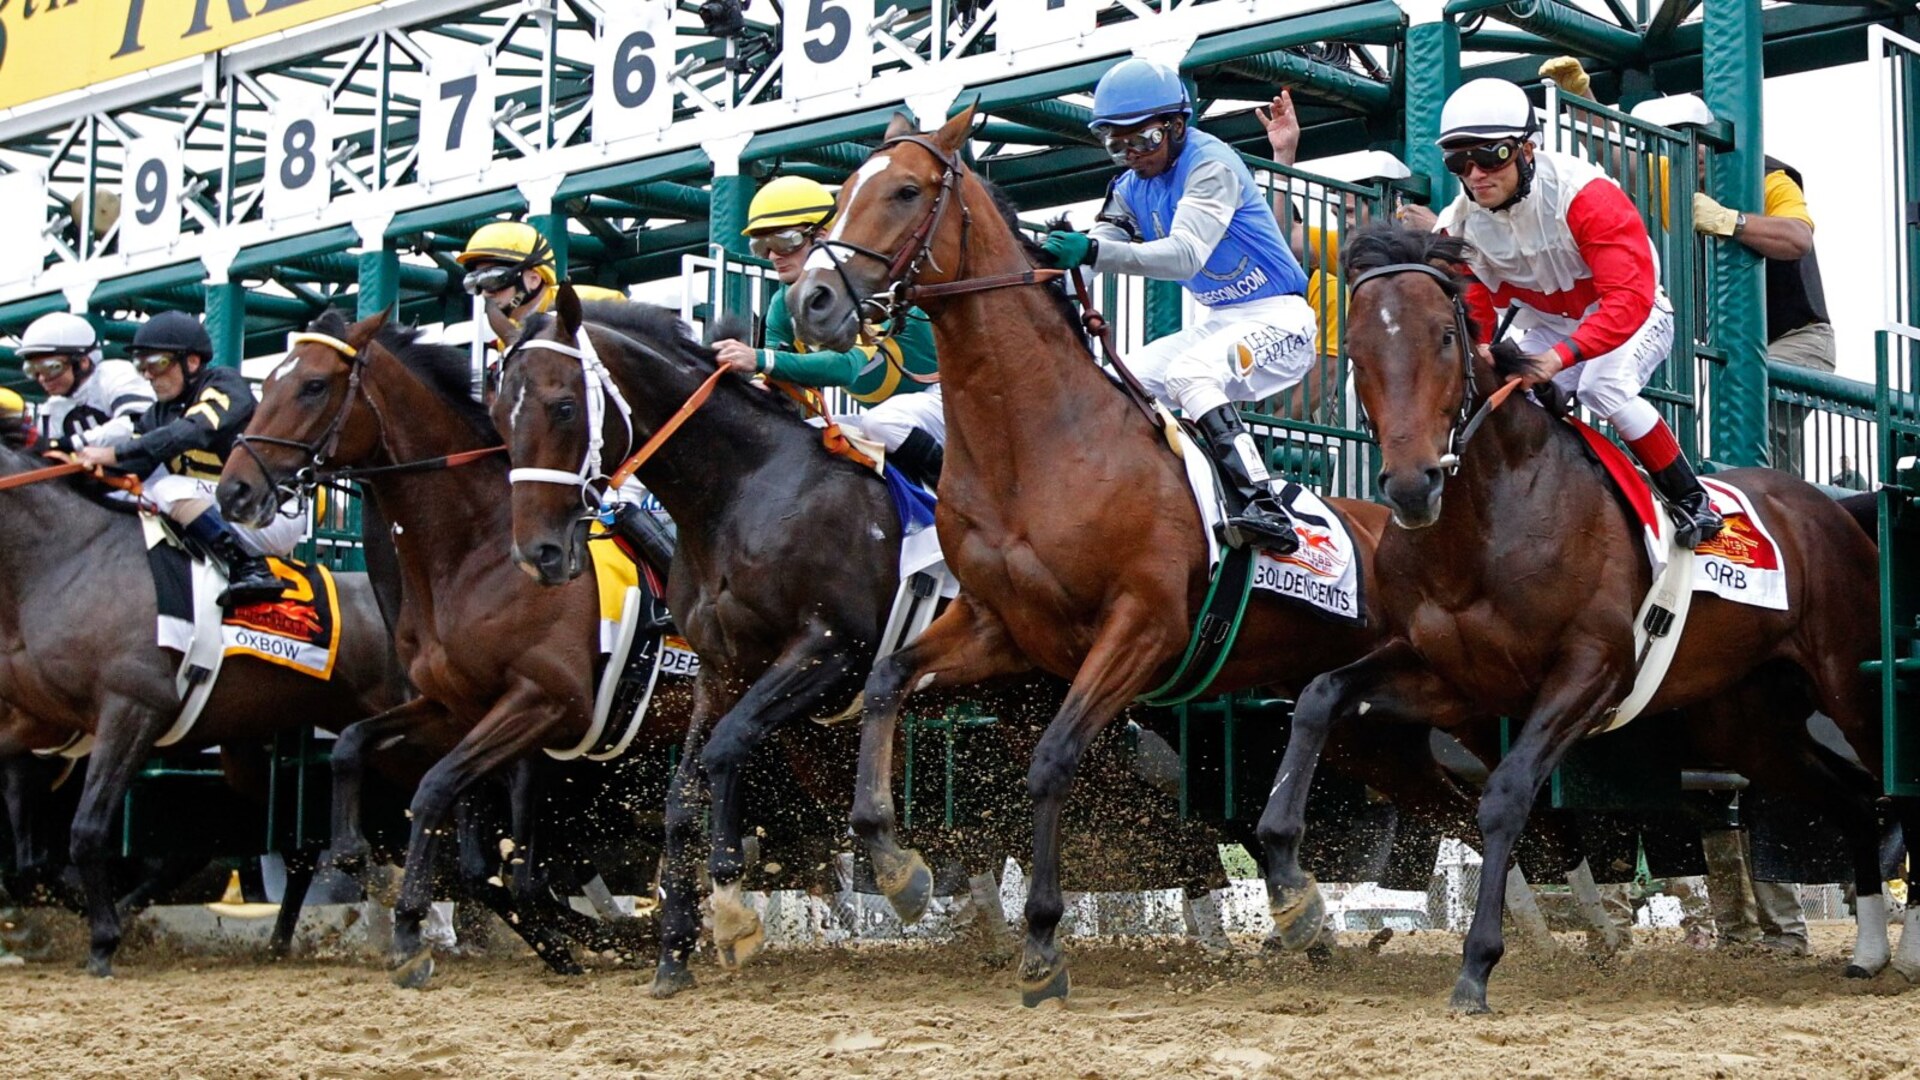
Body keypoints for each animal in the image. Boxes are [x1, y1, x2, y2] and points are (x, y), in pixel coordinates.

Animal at [0, 407, 405, 972]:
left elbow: (86, 829)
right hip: (255, 745)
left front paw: (103, 938)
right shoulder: (36, 723)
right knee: (297, 842)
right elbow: (29, 862)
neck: (65, 558)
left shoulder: (130, 710)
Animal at [791, 107, 1512, 999]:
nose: (812, 300)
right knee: (1453, 803)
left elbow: (1053, 758)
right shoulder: (1000, 625)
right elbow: (887, 681)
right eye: (838, 194)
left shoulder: (1142, 626)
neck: (1039, 438)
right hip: (1372, 727)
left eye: (904, 191)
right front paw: (898, 867)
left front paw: (1043, 944)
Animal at [1251, 224, 1896, 1006]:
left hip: (1849, 681)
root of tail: (1829, 509)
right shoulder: (1446, 675)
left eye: (1445, 337)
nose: (1411, 486)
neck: (1489, 520)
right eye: (1358, 348)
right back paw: (1868, 952)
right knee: (1854, 800)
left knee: (1885, 786)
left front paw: (1477, 966)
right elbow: (1319, 697)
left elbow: (1506, 797)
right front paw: (1293, 890)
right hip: (1749, 722)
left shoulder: (1592, 670)